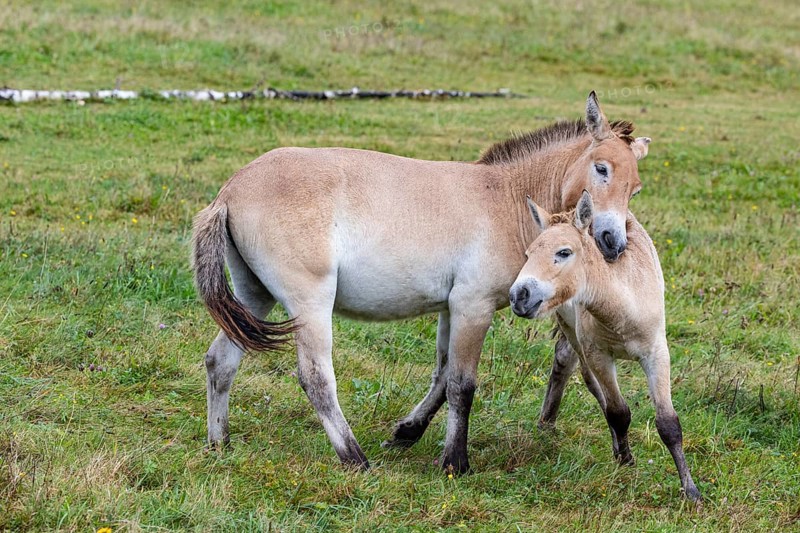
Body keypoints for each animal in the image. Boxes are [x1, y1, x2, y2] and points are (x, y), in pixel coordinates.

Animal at [191, 92, 651, 473]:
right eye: (601, 168)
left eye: (635, 188)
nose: (612, 243)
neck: (503, 199)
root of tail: (231, 189)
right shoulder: (473, 307)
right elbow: (462, 385)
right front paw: (455, 462)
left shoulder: (451, 308)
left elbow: (443, 378)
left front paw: (407, 432)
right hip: (309, 304)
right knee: (316, 378)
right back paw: (355, 459)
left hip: (255, 296)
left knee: (221, 361)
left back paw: (220, 443)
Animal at [509, 191, 702, 501]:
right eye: (528, 255)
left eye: (564, 252)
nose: (519, 295)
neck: (622, 309)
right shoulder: (598, 354)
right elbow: (618, 411)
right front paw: (625, 457)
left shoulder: (657, 354)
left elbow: (668, 423)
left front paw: (691, 491)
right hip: (572, 331)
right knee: (586, 378)